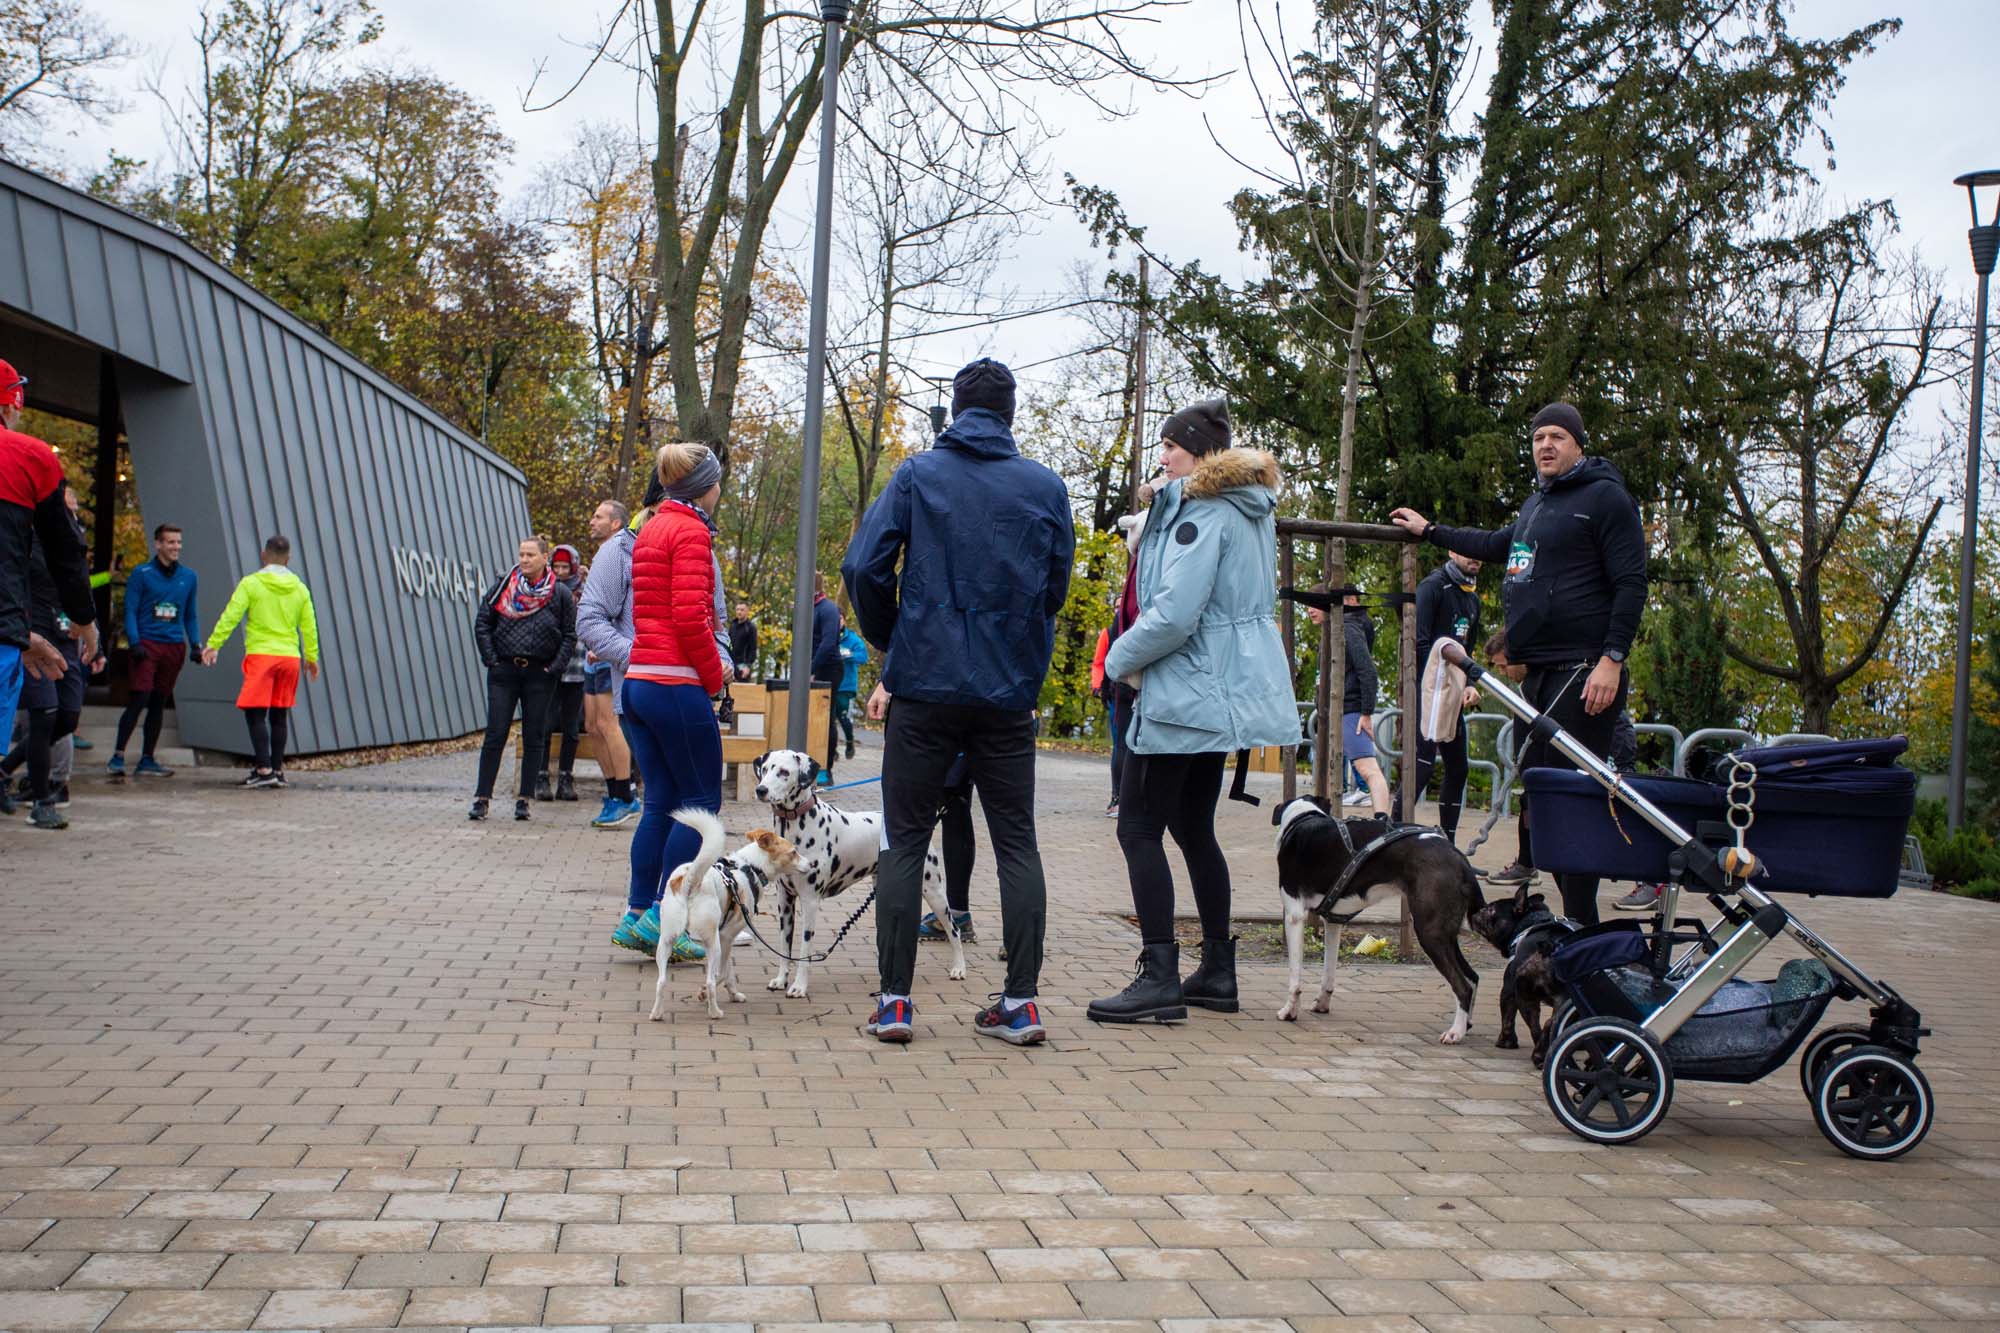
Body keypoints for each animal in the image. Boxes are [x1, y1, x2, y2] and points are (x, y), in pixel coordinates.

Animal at [752, 740, 968, 992]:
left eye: (784, 772)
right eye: (765, 769)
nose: (761, 790)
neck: (796, 826)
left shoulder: (810, 901)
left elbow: (804, 951)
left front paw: (799, 986)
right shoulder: (785, 901)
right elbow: (784, 946)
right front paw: (781, 979)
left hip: (934, 893)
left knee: (954, 930)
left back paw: (959, 968)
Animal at [1264, 800, 1488, 1040]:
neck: (1303, 818)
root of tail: (1459, 858)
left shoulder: (1294, 915)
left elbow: (1294, 978)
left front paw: (1289, 1012)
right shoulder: (1333, 922)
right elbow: (1328, 972)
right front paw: (1322, 1003)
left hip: (1430, 933)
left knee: (1463, 986)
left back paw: (1455, 1032)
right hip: (1445, 934)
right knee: (1473, 977)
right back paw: (1466, 1025)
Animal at [1464, 880, 1568, 1056]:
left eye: (1490, 909)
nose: (1477, 911)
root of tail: (1550, 947)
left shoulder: (1508, 989)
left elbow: (1508, 1017)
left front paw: (1505, 1042)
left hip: (1524, 994)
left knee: (1538, 1026)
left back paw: (1539, 1052)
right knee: (1554, 1021)